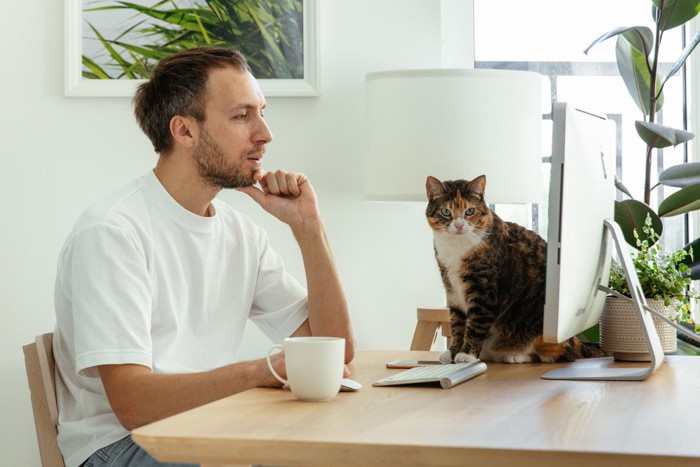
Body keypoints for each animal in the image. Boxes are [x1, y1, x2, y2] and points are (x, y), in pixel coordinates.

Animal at [424, 176, 604, 366]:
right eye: (445, 211)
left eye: (470, 211)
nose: (459, 225)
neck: (455, 248)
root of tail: (574, 340)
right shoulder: (451, 289)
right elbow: (457, 323)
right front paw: (453, 352)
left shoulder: (483, 289)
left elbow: (476, 323)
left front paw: (467, 355)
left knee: (557, 355)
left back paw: (515, 355)